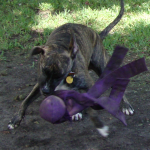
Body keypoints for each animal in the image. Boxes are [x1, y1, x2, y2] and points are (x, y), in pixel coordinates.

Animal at [7, 0, 134, 137]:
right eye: (43, 70)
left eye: (60, 75)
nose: (45, 92)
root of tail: (96, 34)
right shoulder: (40, 84)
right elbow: (25, 101)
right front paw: (15, 119)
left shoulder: (87, 86)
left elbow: (90, 108)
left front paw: (100, 126)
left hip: (102, 66)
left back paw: (125, 105)